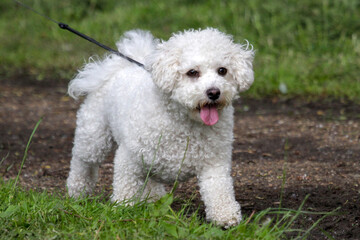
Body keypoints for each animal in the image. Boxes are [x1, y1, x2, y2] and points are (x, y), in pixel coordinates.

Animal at [66, 28, 255, 227]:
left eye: (222, 71)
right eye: (192, 72)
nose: (214, 92)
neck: (183, 122)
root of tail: (120, 67)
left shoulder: (214, 162)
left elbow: (219, 189)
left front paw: (225, 216)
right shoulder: (129, 159)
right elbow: (126, 185)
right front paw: (123, 209)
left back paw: (152, 197)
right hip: (94, 137)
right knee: (82, 163)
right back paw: (77, 191)